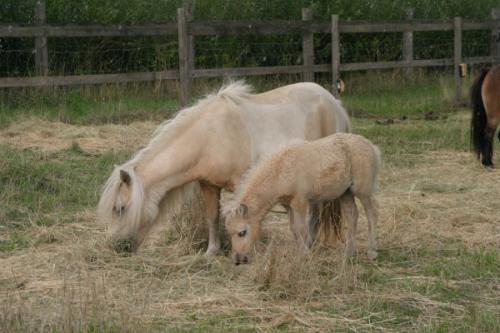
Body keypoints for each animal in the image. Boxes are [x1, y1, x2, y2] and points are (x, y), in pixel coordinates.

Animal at [97, 80, 352, 252]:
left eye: (120, 208)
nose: (117, 247)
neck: (210, 137)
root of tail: (334, 103)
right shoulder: (208, 185)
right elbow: (212, 216)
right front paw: (212, 251)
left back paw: (310, 242)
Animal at [223, 132, 378, 264]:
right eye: (229, 233)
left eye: (242, 232)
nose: (239, 260)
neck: (282, 170)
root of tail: (371, 146)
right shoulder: (288, 205)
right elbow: (294, 228)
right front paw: (299, 254)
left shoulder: (300, 202)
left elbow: (302, 228)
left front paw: (305, 255)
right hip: (346, 193)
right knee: (352, 217)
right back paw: (348, 254)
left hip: (362, 191)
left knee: (371, 214)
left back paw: (371, 251)